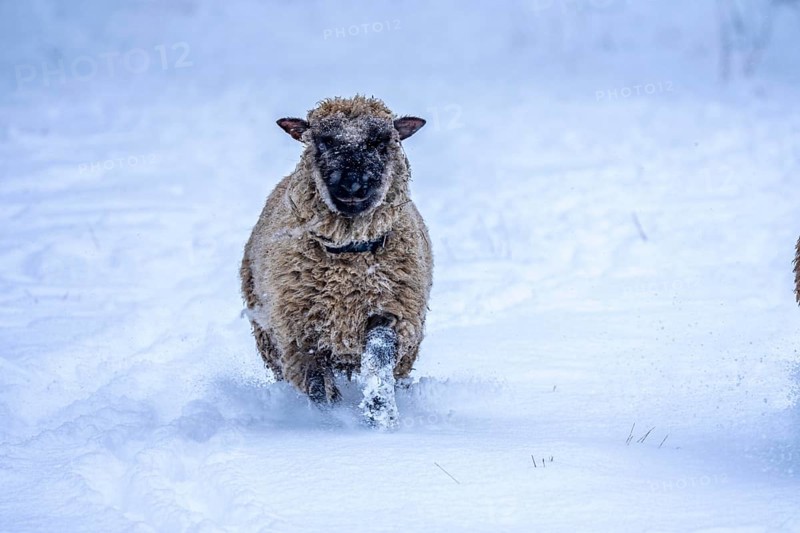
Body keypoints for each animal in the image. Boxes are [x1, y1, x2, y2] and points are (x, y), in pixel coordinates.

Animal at [240, 95, 433, 428]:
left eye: (379, 141)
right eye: (323, 140)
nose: (352, 186)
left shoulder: (391, 312)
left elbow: (378, 358)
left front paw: (380, 417)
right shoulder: (301, 334)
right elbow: (318, 385)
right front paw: (329, 423)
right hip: (268, 337)